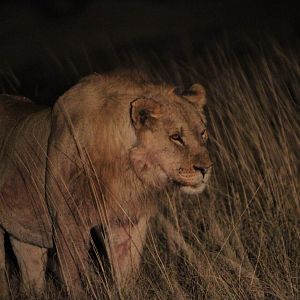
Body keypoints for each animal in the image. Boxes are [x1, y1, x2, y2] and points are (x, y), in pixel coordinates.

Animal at [0, 71, 211, 298]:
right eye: (176, 137)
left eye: (202, 133)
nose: (206, 168)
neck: (125, 169)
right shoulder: (68, 221)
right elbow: (74, 275)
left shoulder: (127, 220)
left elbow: (127, 270)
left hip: (25, 232)